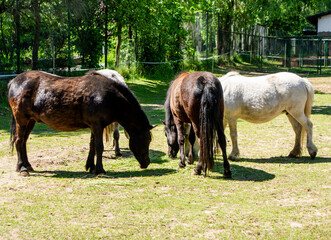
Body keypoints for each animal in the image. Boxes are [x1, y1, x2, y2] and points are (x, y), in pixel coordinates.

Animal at [7, 69, 153, 176]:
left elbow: (92, 146)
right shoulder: (97, 125)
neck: (108, 96)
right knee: (19, 140)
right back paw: (21, 168)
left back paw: (28, 165)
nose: (146, 163)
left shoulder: (94, 126)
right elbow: (99, 146)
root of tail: (14, 81)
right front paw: (100, 170)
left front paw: (91, 166)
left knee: (24, 141)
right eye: (146, 139)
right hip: (22, 120)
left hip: (30, 121)